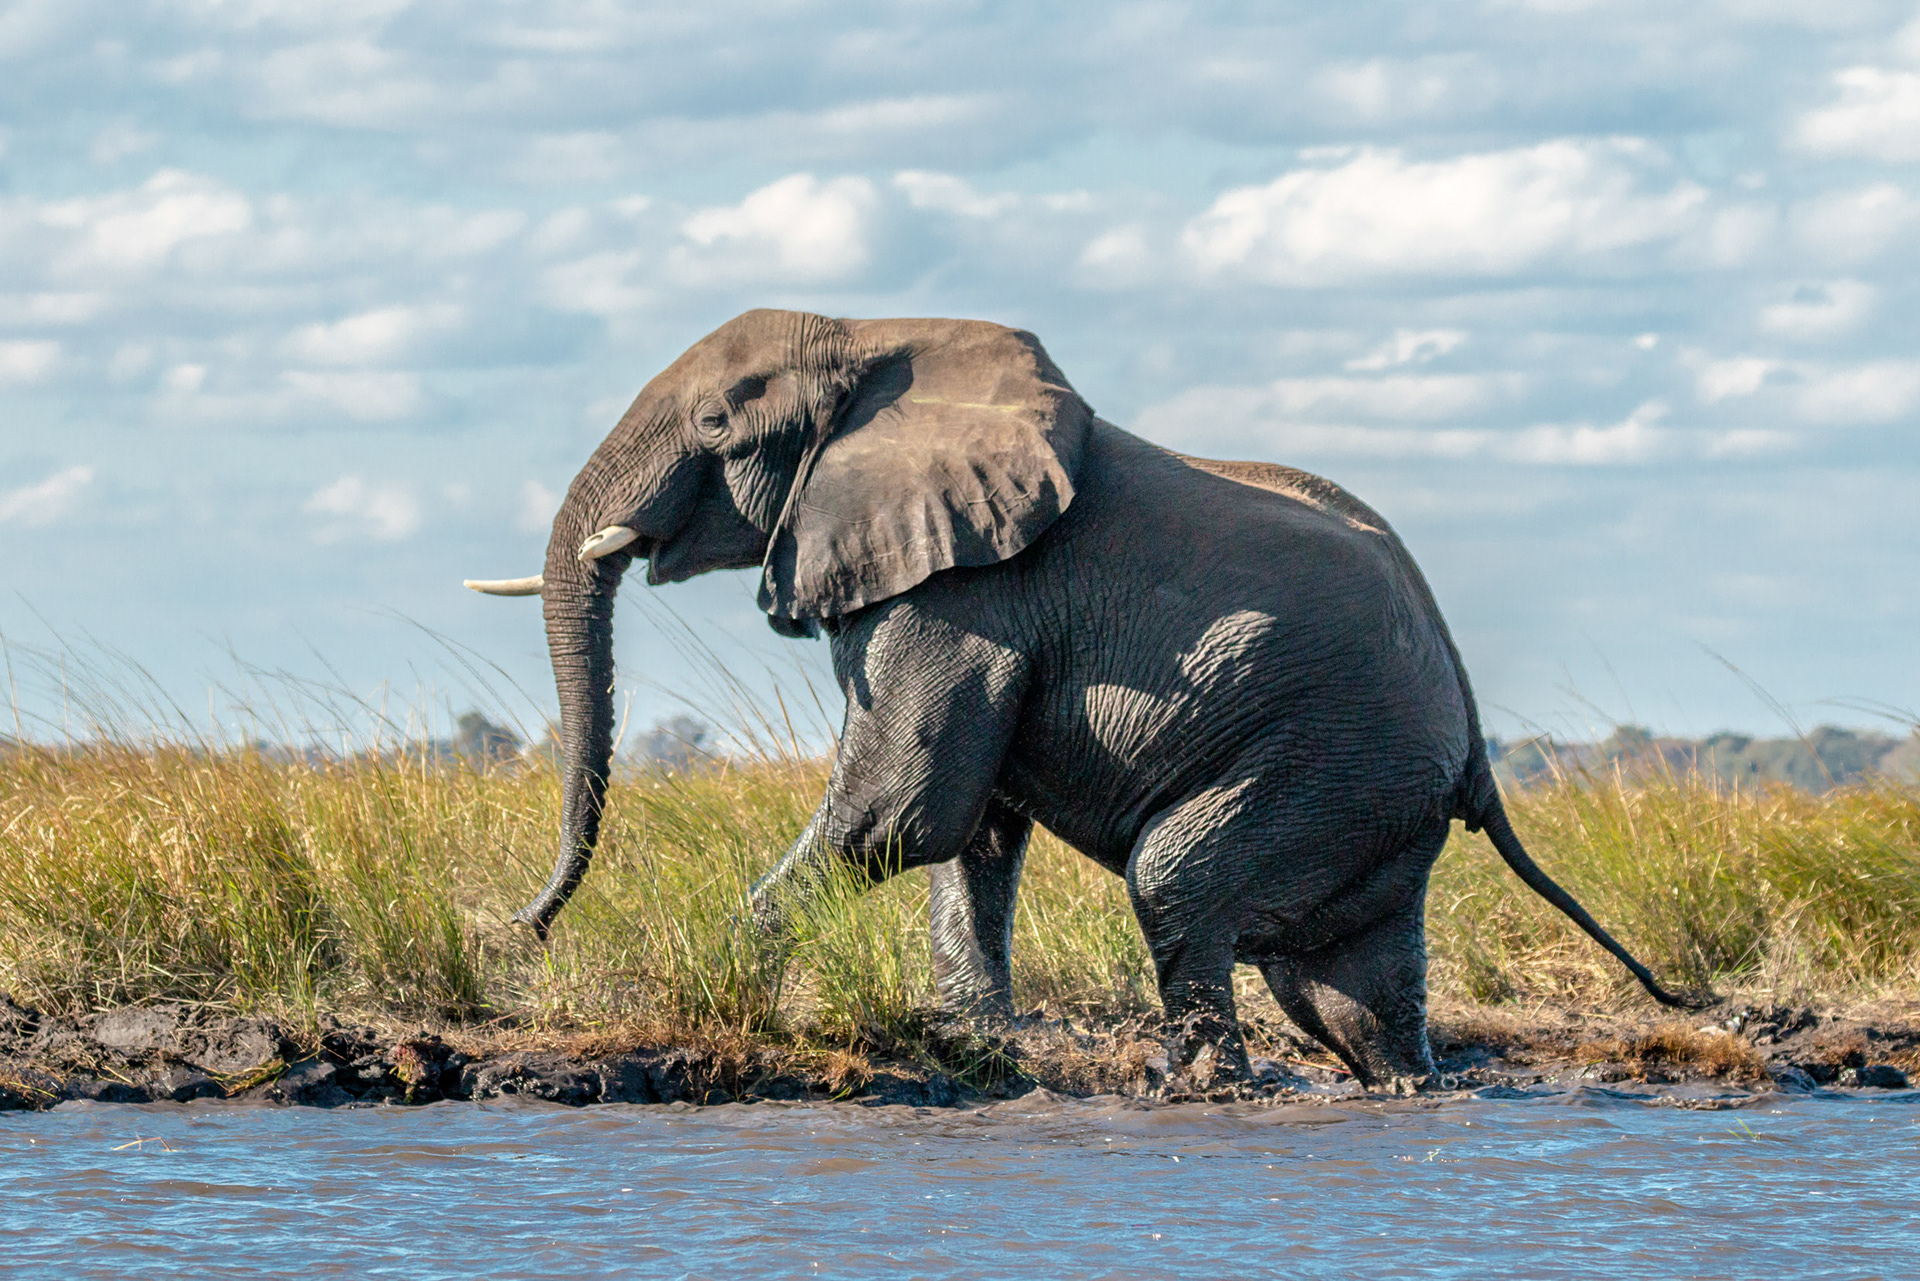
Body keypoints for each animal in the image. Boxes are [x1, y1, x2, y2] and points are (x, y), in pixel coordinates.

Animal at [464, 308, 1694, 1088]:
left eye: (717, 424)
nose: (518, 930)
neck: (870, 338)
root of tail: (1477, 743)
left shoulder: (971, 592)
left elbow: (903, 808)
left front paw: (714, 969)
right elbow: (971, 834)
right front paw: (973, 1050)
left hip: (1328, 757)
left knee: (1180, 880)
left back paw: (1201, 1092)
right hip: (1371, 791)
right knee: (1343, 983)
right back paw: (1406, 1088)